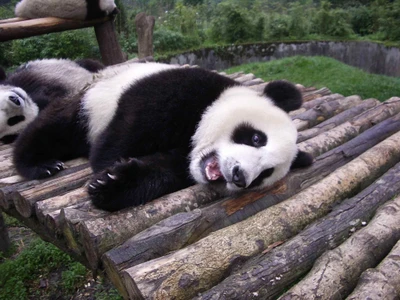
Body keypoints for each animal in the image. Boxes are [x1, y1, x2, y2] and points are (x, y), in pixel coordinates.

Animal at [12, 63, 314, 211]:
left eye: (265, 173)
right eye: (256, 138)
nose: (239, 177)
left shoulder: (182, 161)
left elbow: (161, 171)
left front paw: (115, 184)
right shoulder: (181, 90)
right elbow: (125, 131)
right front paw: (105, 170)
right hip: (90, 100)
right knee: (55, 127)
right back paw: (41, 164)